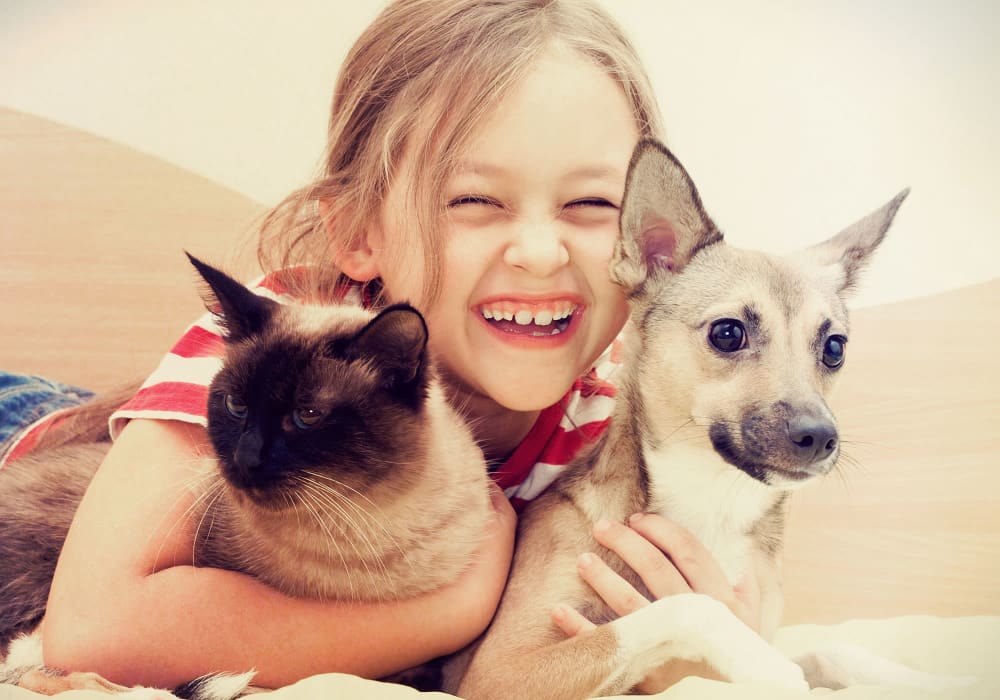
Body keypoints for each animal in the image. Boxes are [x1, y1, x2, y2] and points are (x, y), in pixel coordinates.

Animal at [456, 139, 916, 696]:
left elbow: (833, 649)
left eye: (834, 348)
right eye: (728, 333)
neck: (713, 498)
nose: (820, 438)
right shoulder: (499, 673)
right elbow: (686, 606)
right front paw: (766, 666)